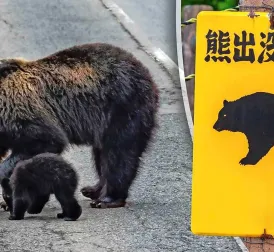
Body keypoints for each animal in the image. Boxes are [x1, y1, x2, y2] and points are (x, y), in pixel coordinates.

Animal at [0, 42, 159, 209]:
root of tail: (146, 73)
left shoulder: (20, 112)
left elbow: (46, 140)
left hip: (124, 108)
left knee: (119, 153)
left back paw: (107, 198)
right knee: (101, 155)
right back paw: (93, 189)